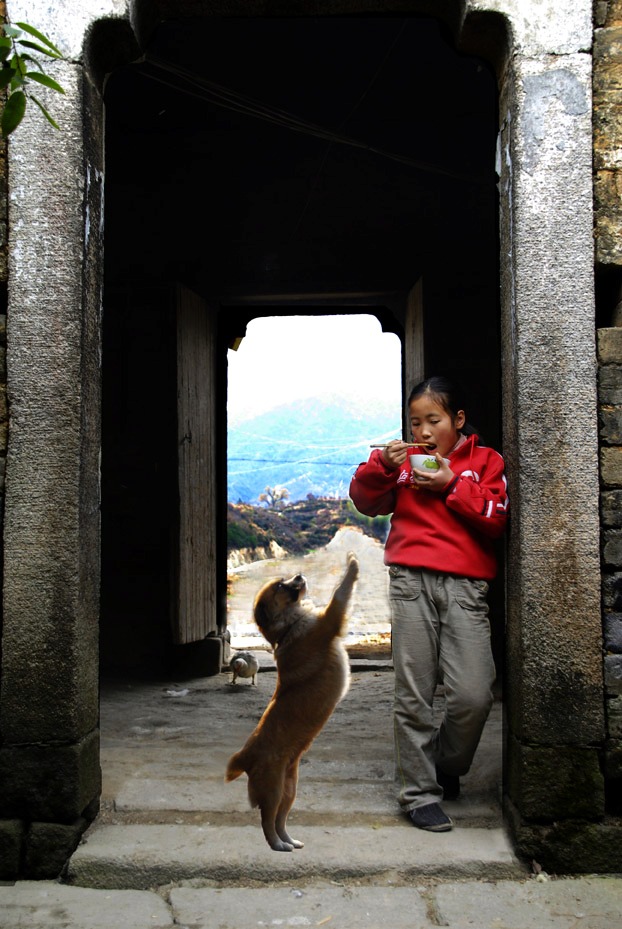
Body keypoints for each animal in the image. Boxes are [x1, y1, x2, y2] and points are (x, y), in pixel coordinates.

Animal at [224, 552, 360, 848]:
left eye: (284, 580)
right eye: (280, 586)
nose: (298, 575)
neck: (288, 626)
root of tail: (246, 756)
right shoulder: (331, 619)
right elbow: (341, 591)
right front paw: (352, 563)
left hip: (290, 791)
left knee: (280, 820)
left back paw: (291, 843)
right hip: (274, 790)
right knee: (267, 822)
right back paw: (278, 846)